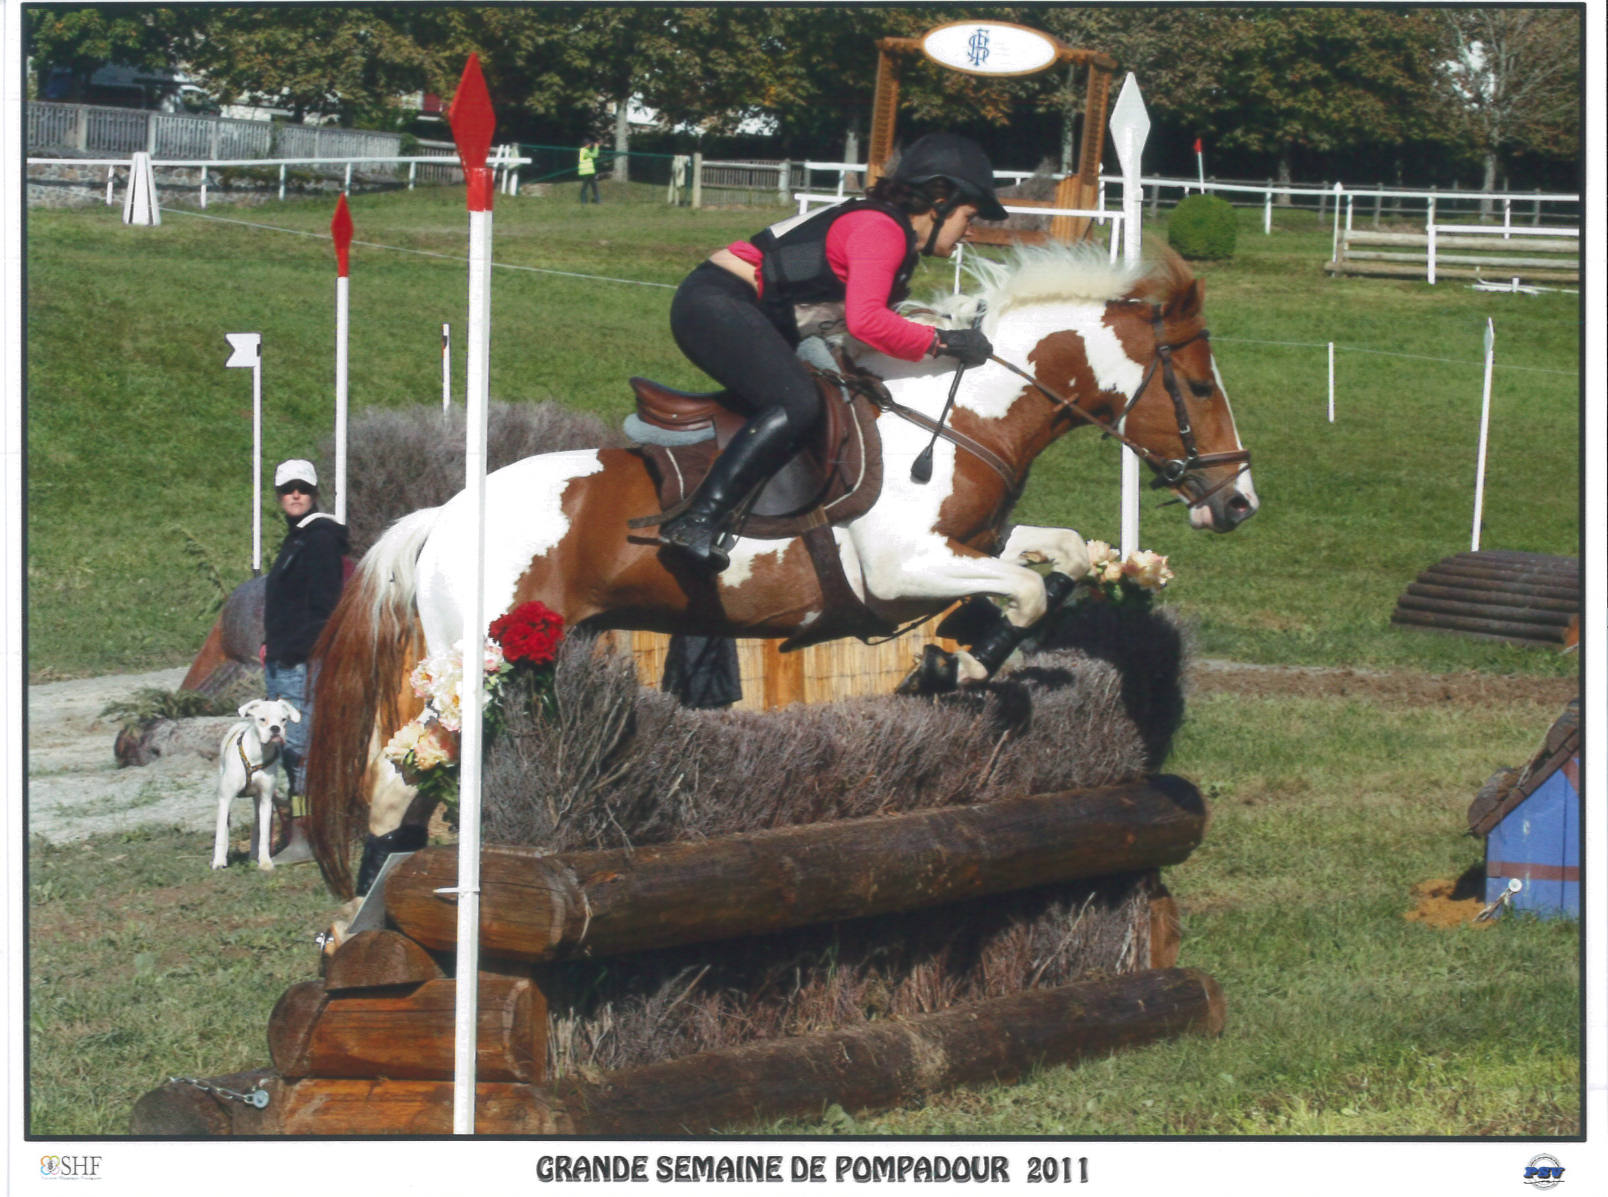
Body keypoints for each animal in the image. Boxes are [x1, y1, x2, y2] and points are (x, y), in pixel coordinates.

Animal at [213, 701, 302, 868]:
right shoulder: (225, 799)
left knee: (256, 826)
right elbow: (221, 833)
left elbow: (264, 834)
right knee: (225, 824)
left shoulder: (266, 800)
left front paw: (265, 862)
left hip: (259, 800)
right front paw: (219, 862)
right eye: (262, 719)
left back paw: (254, 855)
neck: (258, 754)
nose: (275, 728)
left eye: (283, 719)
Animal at [302, 242, 1254, 900]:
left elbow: (1060, 559)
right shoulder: (901, 569)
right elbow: (1020, 591)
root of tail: (441, 515)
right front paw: (955, 665)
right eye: (1203, 387)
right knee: (393, 788)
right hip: (477, 665)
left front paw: (957, 660)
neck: (961, 415)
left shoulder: (971, 542)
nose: (1238, 503)